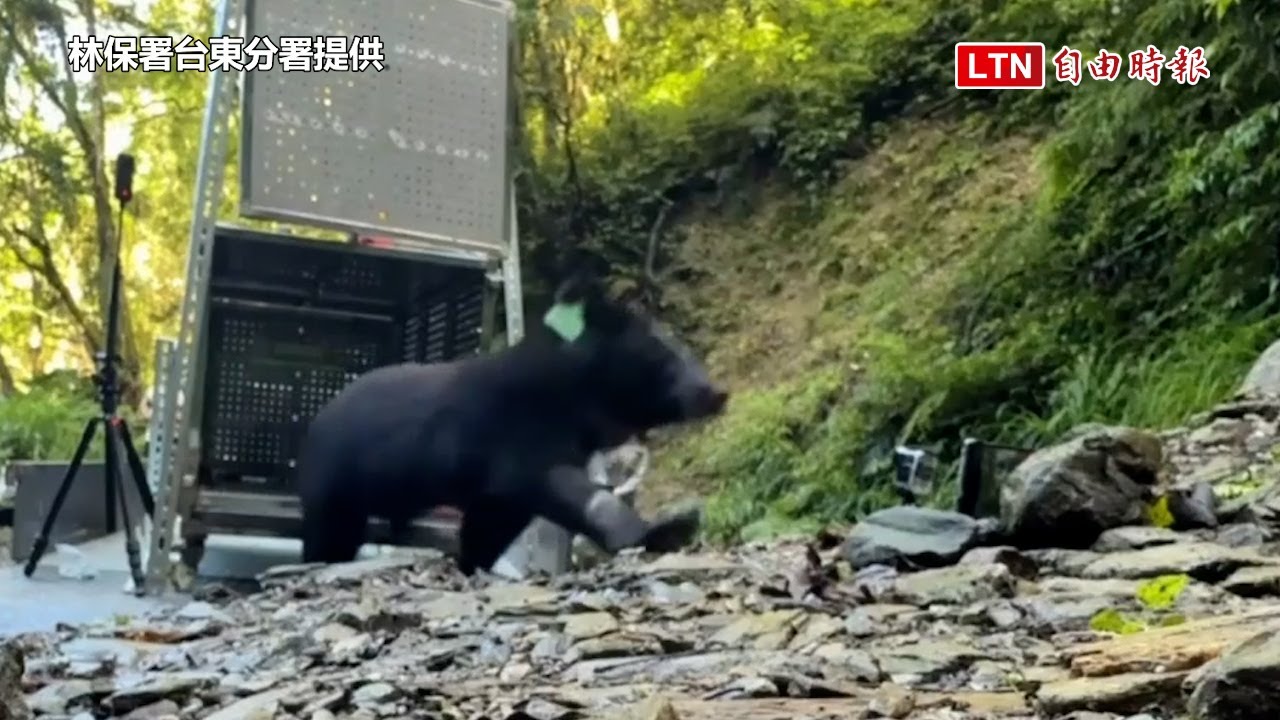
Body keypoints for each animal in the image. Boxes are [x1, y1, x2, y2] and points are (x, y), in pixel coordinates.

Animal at [296, 274, 729, 574]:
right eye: (660, 353)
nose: (716, 392)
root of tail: (319, 417)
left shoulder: (499, 489)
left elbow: (489, 524)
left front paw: (471, 564)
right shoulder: (518, 438)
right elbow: (562, 488)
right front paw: (663, 530)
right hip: (335, 479)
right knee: (330, 533)